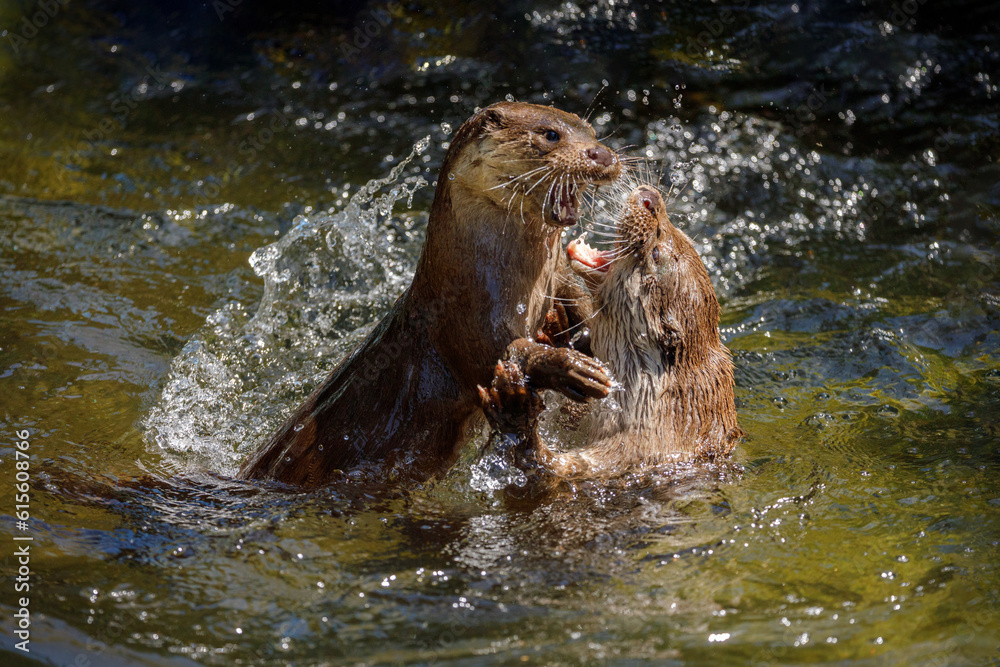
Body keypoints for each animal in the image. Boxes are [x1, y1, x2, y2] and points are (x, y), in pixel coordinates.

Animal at [238, 102, 620, 487]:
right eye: (550, 134)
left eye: (592, 132)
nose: (602, 154)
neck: (467, 280)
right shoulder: (466, 321)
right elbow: (501, 354)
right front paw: (574, 369)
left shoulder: (556, 279)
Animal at [479, 184, 743, 481]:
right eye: (678, 231)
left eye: (655, 252)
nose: (651, 199)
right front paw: (557, 336)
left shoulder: (634, 454)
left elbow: (552, 469)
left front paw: (514, 409)